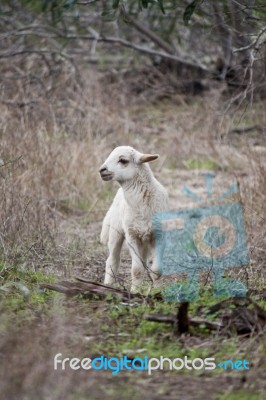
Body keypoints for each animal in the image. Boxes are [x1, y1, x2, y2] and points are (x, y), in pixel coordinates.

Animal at [98, 145, 169, 292]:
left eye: (123, 160)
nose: (102, 170)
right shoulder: (132, 236)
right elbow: (136, 269)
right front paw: (134, 291)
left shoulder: (159, 236)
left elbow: (156, 270)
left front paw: (157, 291)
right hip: (116, 232)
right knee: (112, 260)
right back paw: (107, 285)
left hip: (144, 240)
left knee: (144, 261)